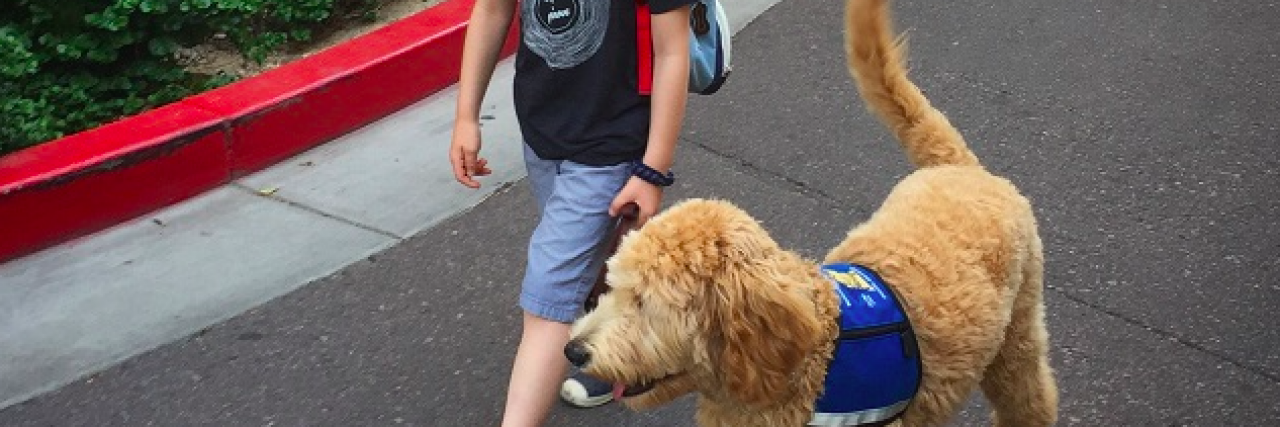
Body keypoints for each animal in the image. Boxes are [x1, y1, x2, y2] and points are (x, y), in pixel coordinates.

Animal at [563, 1, 1059, 424]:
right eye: (611, 287)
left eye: (644, 302)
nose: (574, 351)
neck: (814, 354)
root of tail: (956, 166)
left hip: (1016, 338)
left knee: (1031, 396)